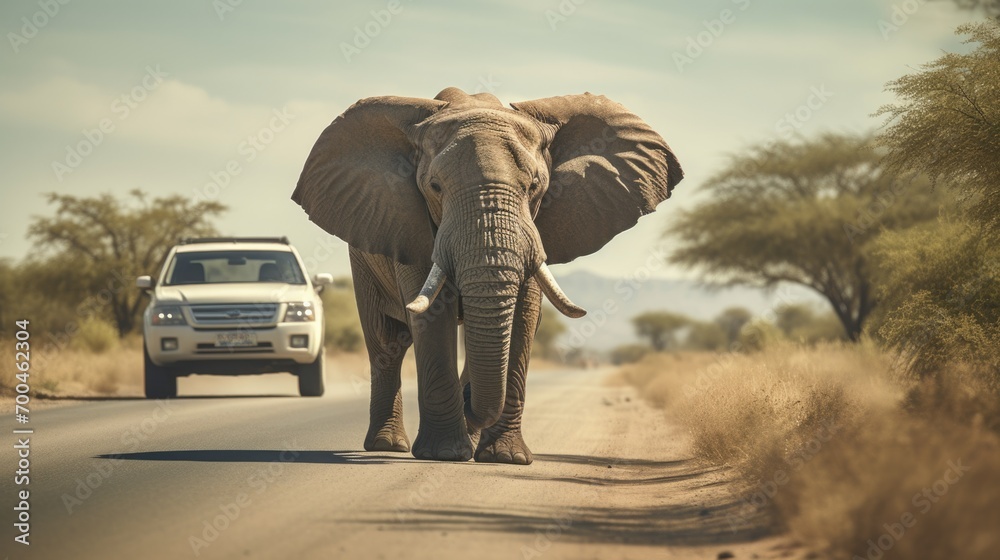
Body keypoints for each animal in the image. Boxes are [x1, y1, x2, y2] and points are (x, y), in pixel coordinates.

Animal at [292, 87, 682, 464]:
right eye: (435, 187)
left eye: (535, 186)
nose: (468, 403)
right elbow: (432, 316)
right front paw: (444, 454)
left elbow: (525, 314)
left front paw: (506, 458)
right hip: (363, 257)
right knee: (387, 342)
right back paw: (389, 445)